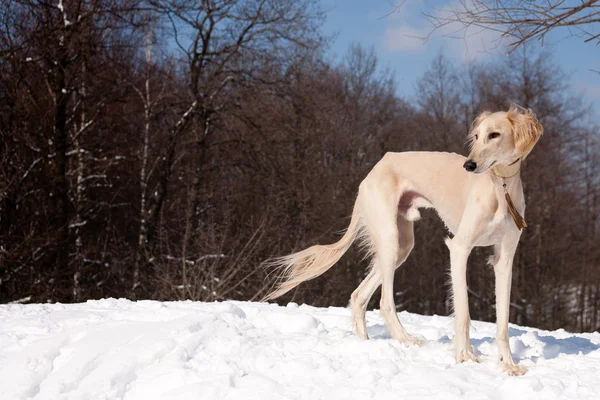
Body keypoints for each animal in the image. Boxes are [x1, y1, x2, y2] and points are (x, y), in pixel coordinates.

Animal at [262, 104, 544, 376]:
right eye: (476, 136)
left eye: (494, 134)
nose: (469, 165)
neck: (501, 186)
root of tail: (375, 168)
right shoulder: (459, 247)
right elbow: (463, 311)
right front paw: (465, 357)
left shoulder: (504, 258)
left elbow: (503, 321)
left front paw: (508, 366)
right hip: (389, 237)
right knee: (385, 302)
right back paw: (407, 340)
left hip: (401, 246)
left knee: (359, 295)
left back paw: (365, 343)